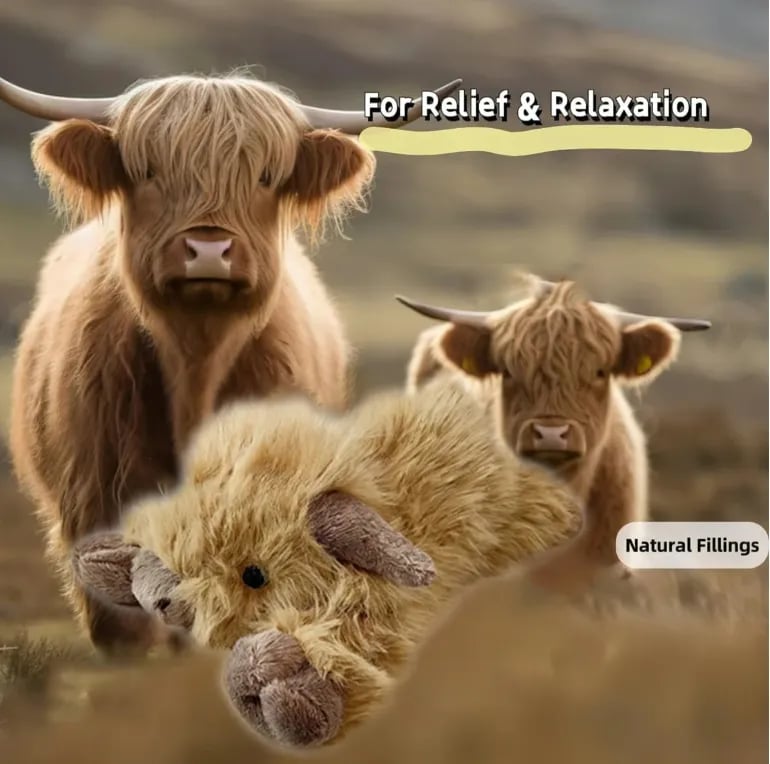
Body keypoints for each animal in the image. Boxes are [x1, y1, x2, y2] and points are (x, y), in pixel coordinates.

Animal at [0, 71, 461, 652]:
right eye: (148, 171)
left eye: (264, 176)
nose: (207, 249)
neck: (196, 367)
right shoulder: (94, 499)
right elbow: (122, 624)